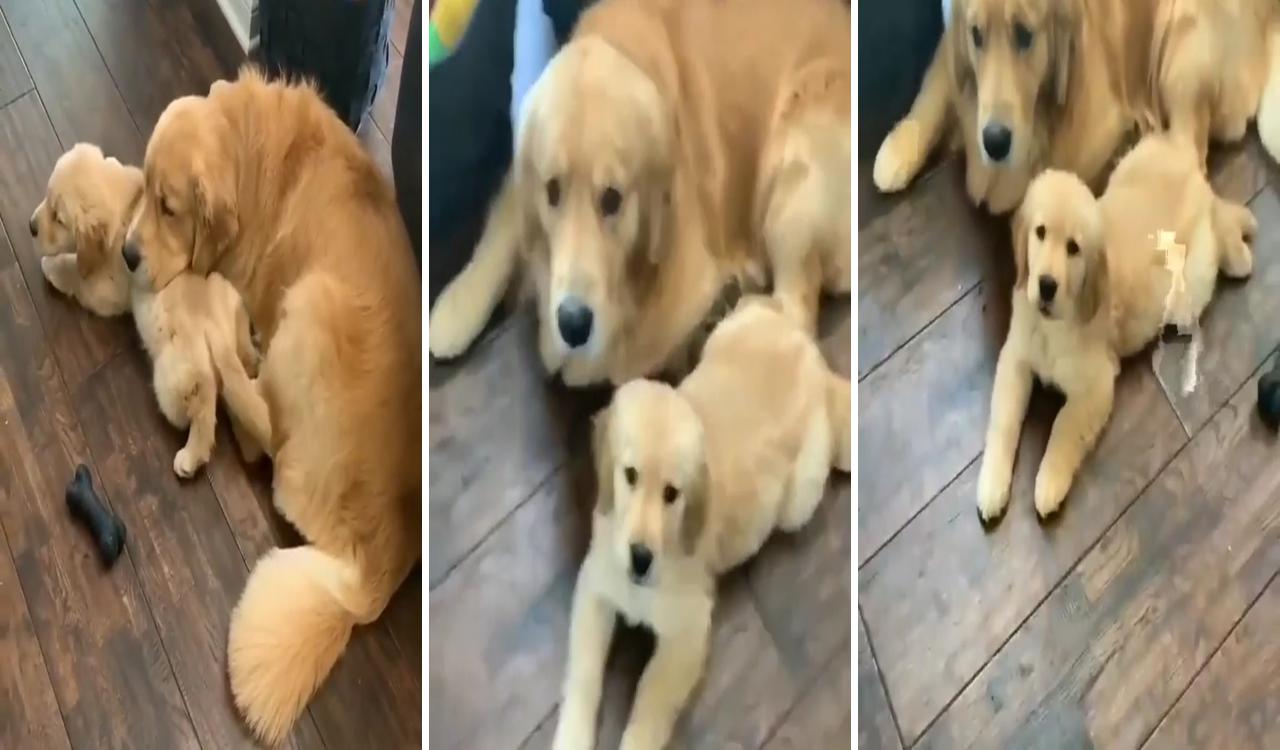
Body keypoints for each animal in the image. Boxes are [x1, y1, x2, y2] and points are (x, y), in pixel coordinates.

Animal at [33, 143, 262, 476]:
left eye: (59, 218)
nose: (31, 227)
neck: (126, 208)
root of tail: (215, 331)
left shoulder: (107, 287)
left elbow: (77, 273)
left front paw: (52, 266)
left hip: (174, 379)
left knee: (204, 405)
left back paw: (191, 457)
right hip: (233, 311)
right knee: (242, 376)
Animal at [121, 68, 419, 742]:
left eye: (170, 208)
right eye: (149, 191)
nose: (126, 255)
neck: (252, 153)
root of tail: (374, 577)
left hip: (313, 302)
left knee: (264, 438)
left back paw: (232, 375)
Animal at [427, 0, 849, 386]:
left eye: (612, 198)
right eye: (552, 190)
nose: (573, 323)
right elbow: (502, 230)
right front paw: (454, 308)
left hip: (795, 172)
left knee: (796, 313)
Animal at [875, 0, 1280, 213]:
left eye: (1025, 35)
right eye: (977, 36)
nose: (994, 141)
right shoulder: (951, 45)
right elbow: (933, 93)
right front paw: (896, 151)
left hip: (1184, 45)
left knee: (1188, 156)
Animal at [972, 134, 1254, 519]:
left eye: (1074, 248)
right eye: (1040, 233)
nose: (1045, 285)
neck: (1054, 324)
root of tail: (1180, 147)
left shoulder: (1096, 386)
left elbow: (1063, 427)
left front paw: (1048, 483)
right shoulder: (1016, 357)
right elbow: (1003, 418)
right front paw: (991, 484)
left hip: (1190, 288)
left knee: (1220, 220)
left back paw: (1240, 241)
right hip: (1127, 166)